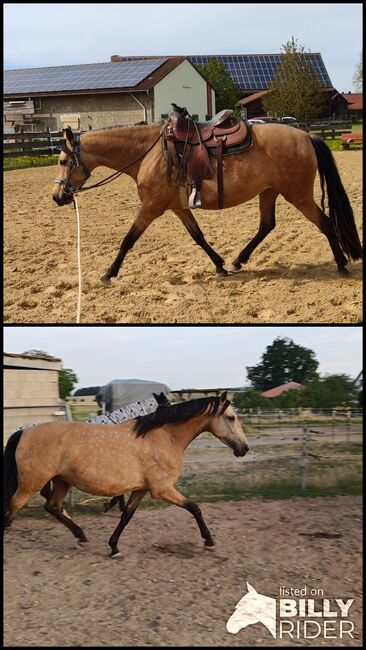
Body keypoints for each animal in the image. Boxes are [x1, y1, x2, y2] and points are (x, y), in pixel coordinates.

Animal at [2, 392, 249, 556]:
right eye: (231, 417)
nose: (244, 448)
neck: (162, 437)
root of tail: (23, 432)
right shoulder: (162, 490)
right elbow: (195, 508)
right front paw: (209, 541)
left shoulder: (141, 489)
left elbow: (126, 515)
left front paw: (114, 547)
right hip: (31, 484)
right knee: (12, 510)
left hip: (61, 481)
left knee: (53, 507)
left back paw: (81, 536)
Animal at [52, 104, 364, 280]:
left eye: (63, 161)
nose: (57, 196)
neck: (148, 152)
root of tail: (307, 136)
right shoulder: (178, 207)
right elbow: (198, 237)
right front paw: (220, 266)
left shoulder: (151, 207)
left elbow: (128, 240)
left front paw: (109, 273)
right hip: (270, 191)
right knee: (267, 225)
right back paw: (238, 261)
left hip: (298, 194)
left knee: (324, 223)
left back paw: (341, 265)